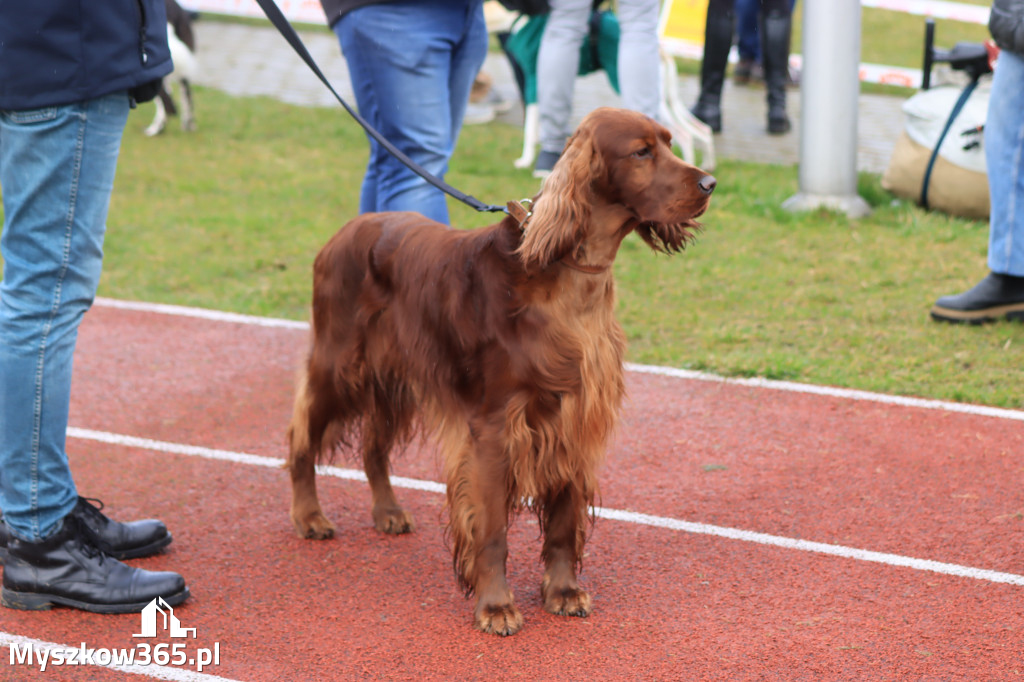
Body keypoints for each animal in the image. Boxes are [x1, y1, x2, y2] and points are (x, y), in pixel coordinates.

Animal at [284, 106, 716, 630]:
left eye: (670, 144)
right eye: (640, 152)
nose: (712, 183)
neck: (568, 272)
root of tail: (344, 231)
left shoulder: (574, 419)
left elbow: (563, 522)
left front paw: (563, 591)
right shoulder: (494, 428)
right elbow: (490, 531)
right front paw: (495, 605)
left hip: (394, 378)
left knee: (373, 445)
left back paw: (386, 510)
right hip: (339, 365)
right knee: (301, 437)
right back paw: (309, 516)